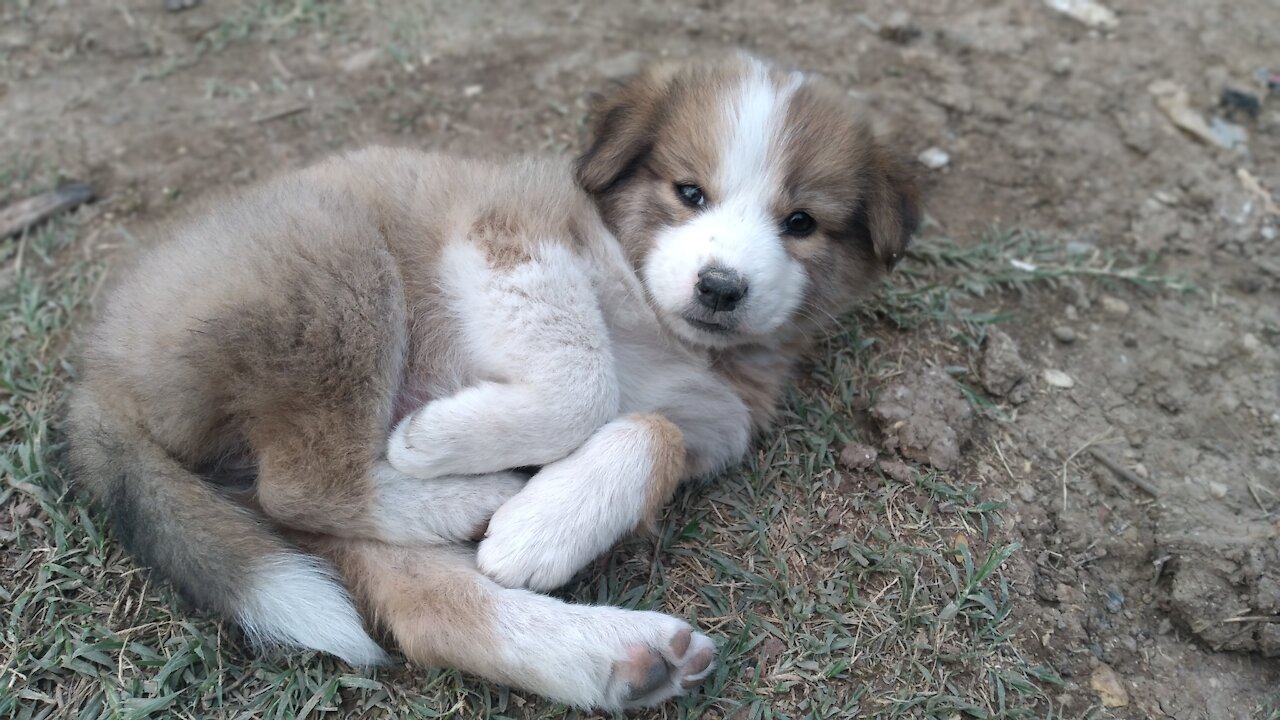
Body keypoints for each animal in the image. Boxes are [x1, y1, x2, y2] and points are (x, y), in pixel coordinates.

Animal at [62, 54, 921, 707]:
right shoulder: (509, 235)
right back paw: (473, 493)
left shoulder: (717, 416)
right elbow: (587, 377)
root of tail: (99, 369)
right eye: (689, 193)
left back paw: (612, 652)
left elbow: (653, 428)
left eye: (801, 223)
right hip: (340, 265)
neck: (656, 321)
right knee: (305, 483)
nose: (721, 288)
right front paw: (442, 443)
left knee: (421, 602)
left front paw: (544, 529)